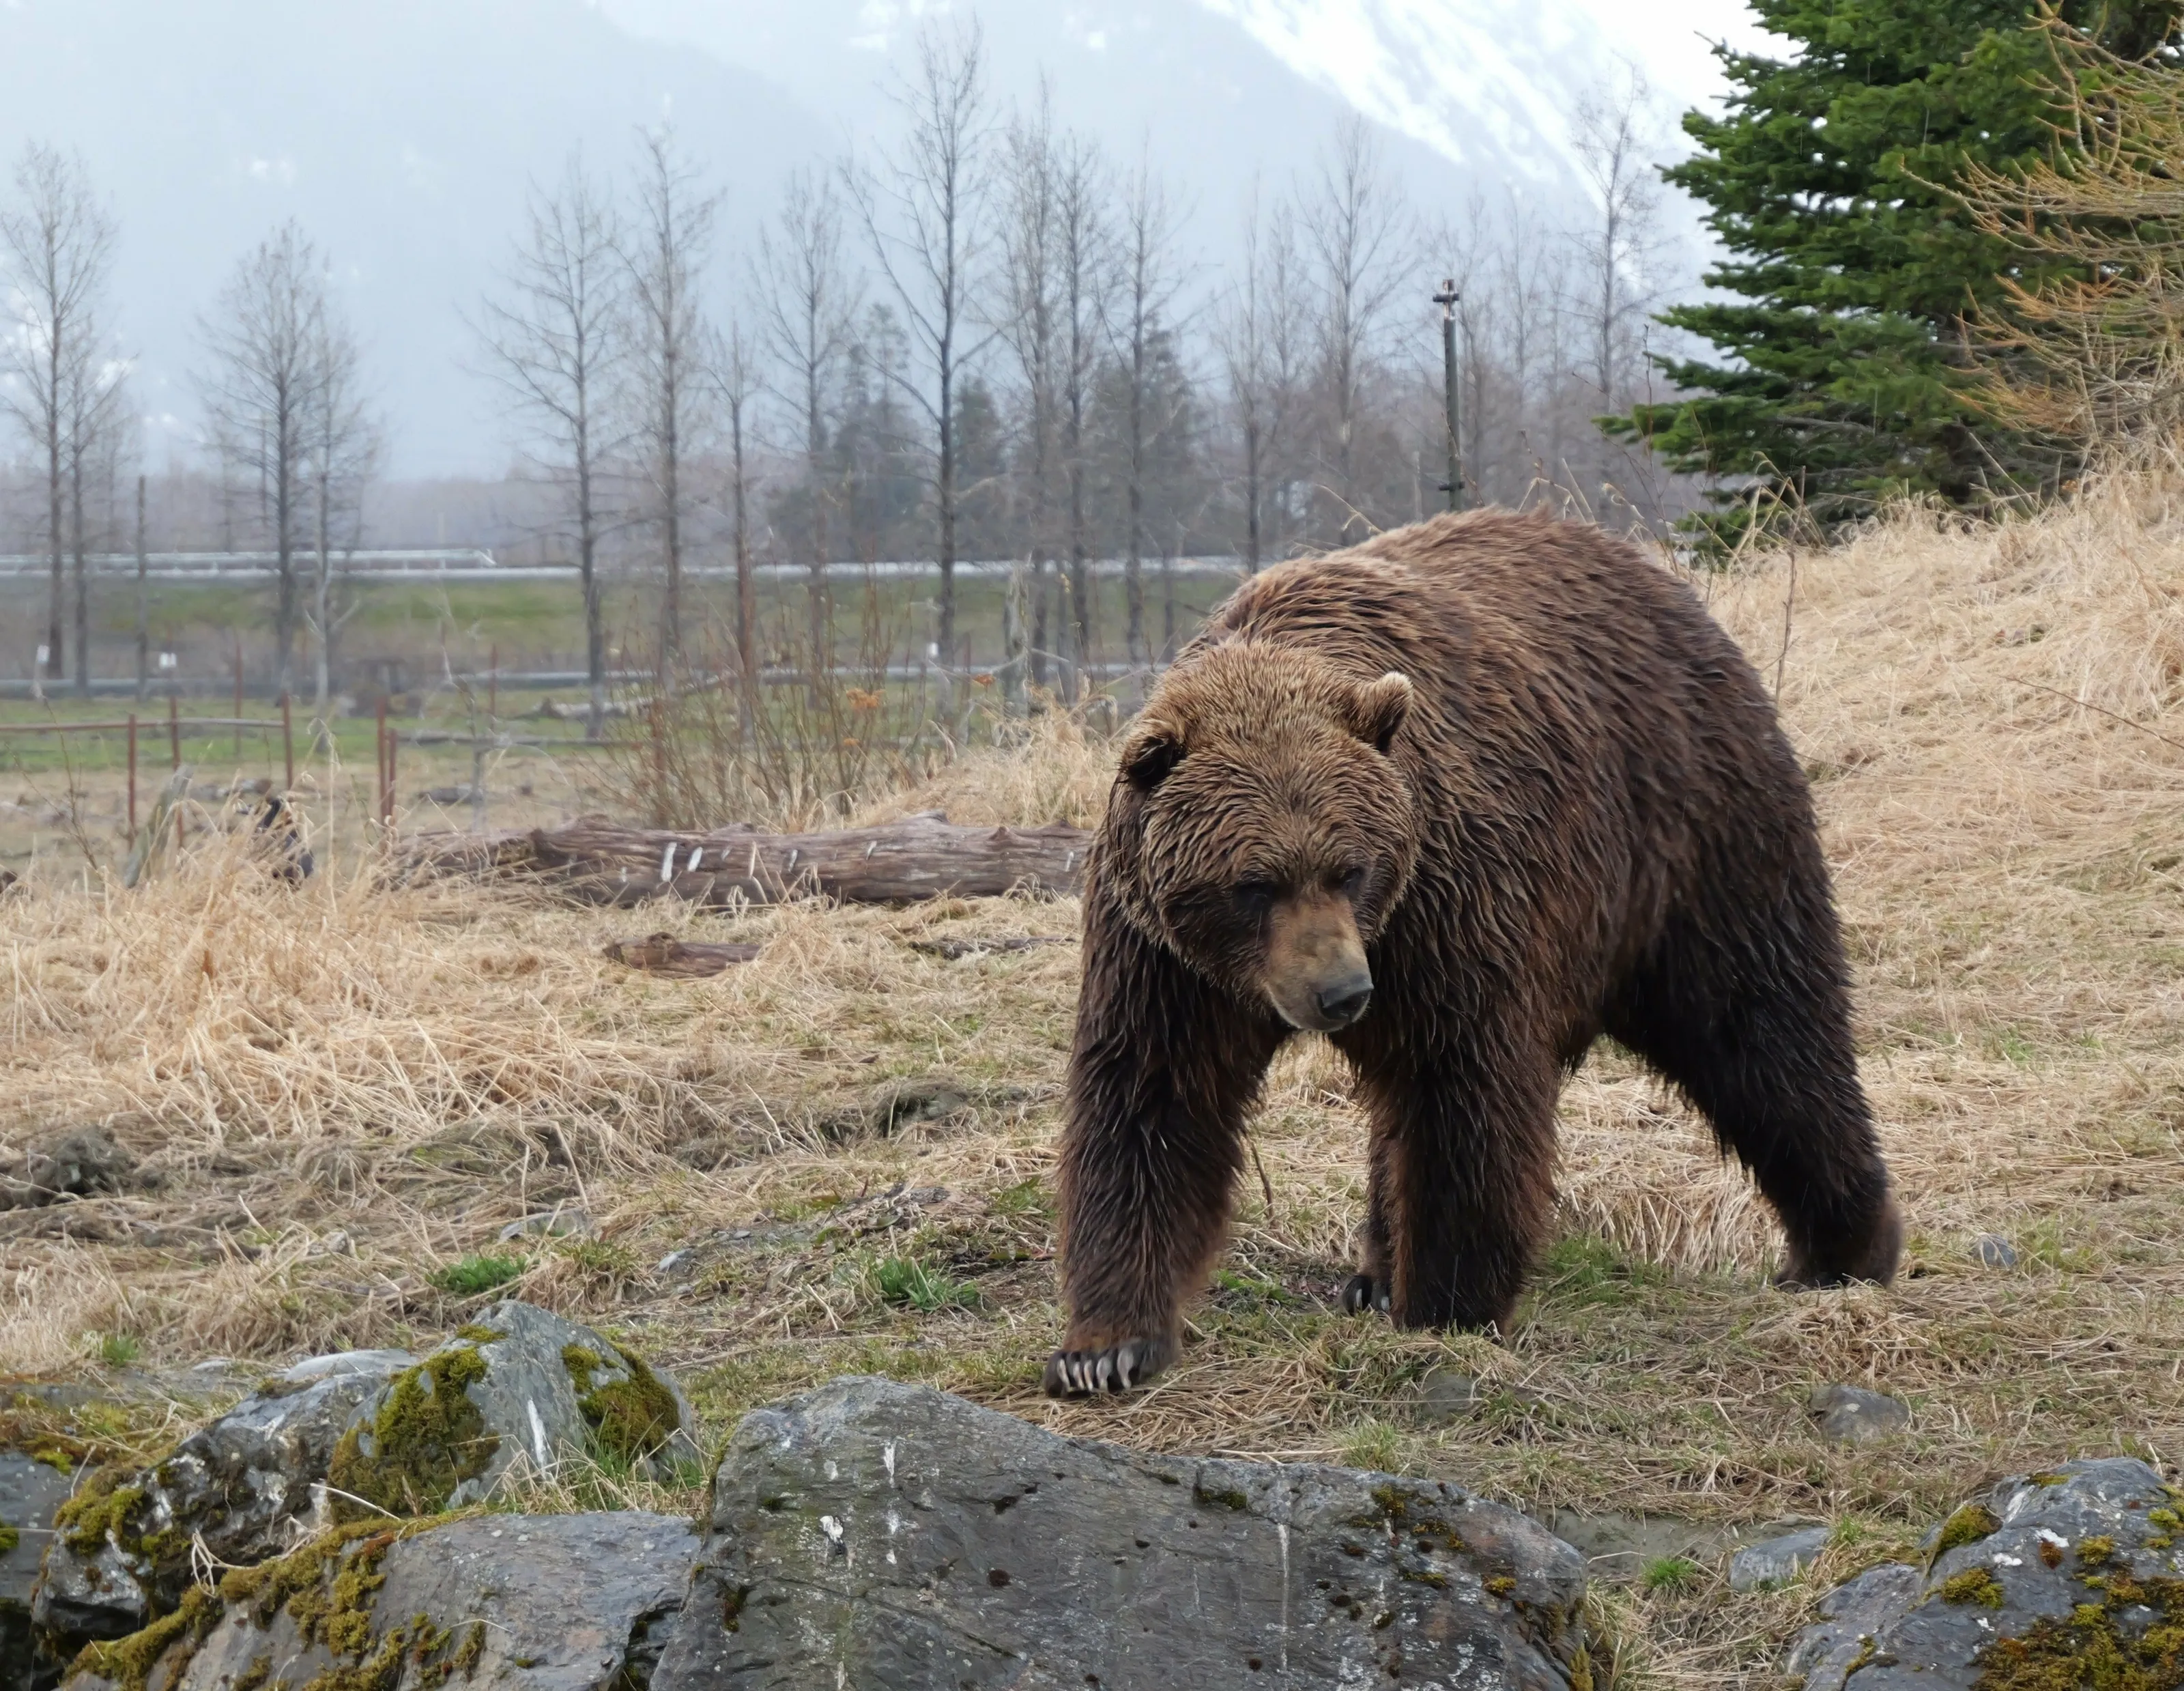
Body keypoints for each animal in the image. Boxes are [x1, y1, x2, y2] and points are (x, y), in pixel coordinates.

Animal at [1043, 507, 1901, 1397]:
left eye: (1347, 867)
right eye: (1253, 883)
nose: (1342, 993)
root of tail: (1667, 587)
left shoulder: (1448, 906)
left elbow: (1461, 1091)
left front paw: (1446, 1308)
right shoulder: (1164, 957)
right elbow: (1150, 1097)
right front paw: (1104, 1345)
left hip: (1693, 839)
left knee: (1764, 1030)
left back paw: (1841, 1247)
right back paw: (1373, 1268)